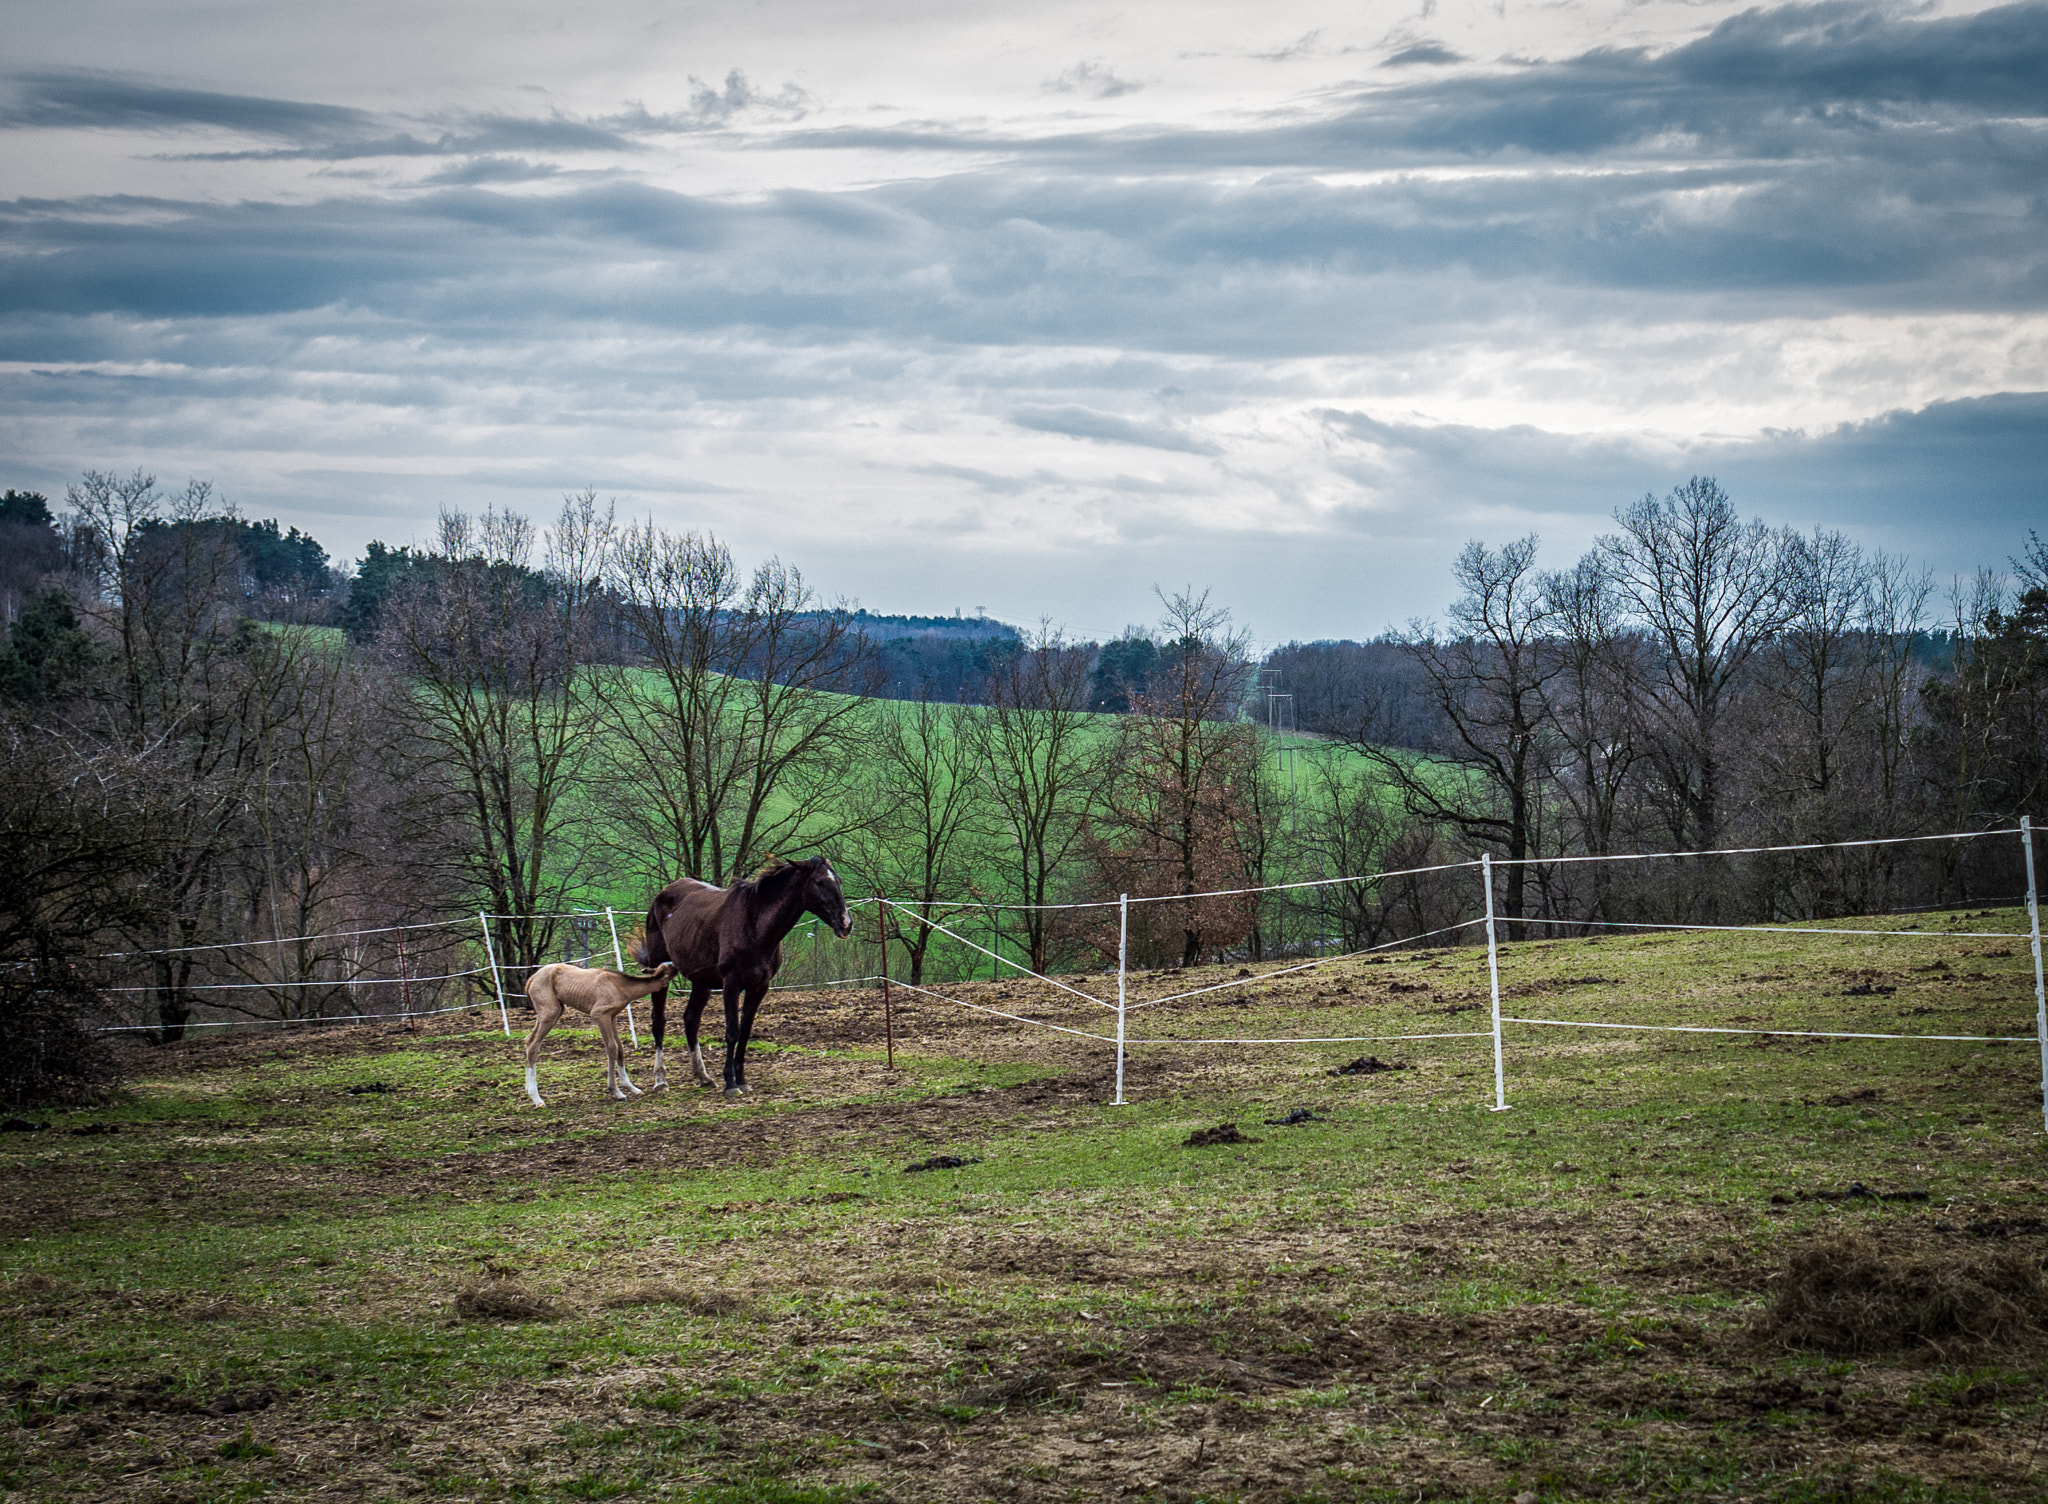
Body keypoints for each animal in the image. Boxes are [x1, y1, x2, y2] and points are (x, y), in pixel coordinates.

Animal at [634, 860, 851, 1098]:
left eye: (839, 880)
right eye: (820, 882)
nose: (846, 923)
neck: (755, 924)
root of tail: (662, 895)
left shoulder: (759, 987)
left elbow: (745, 1031)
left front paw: (742, 1080)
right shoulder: (731, 984)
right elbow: (732, 1031)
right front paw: (730, 1083)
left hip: (701, 981)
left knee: (691, 1020)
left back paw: (703, 1076)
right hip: (660, 971)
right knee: (658, 1022)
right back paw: (660, 1080)